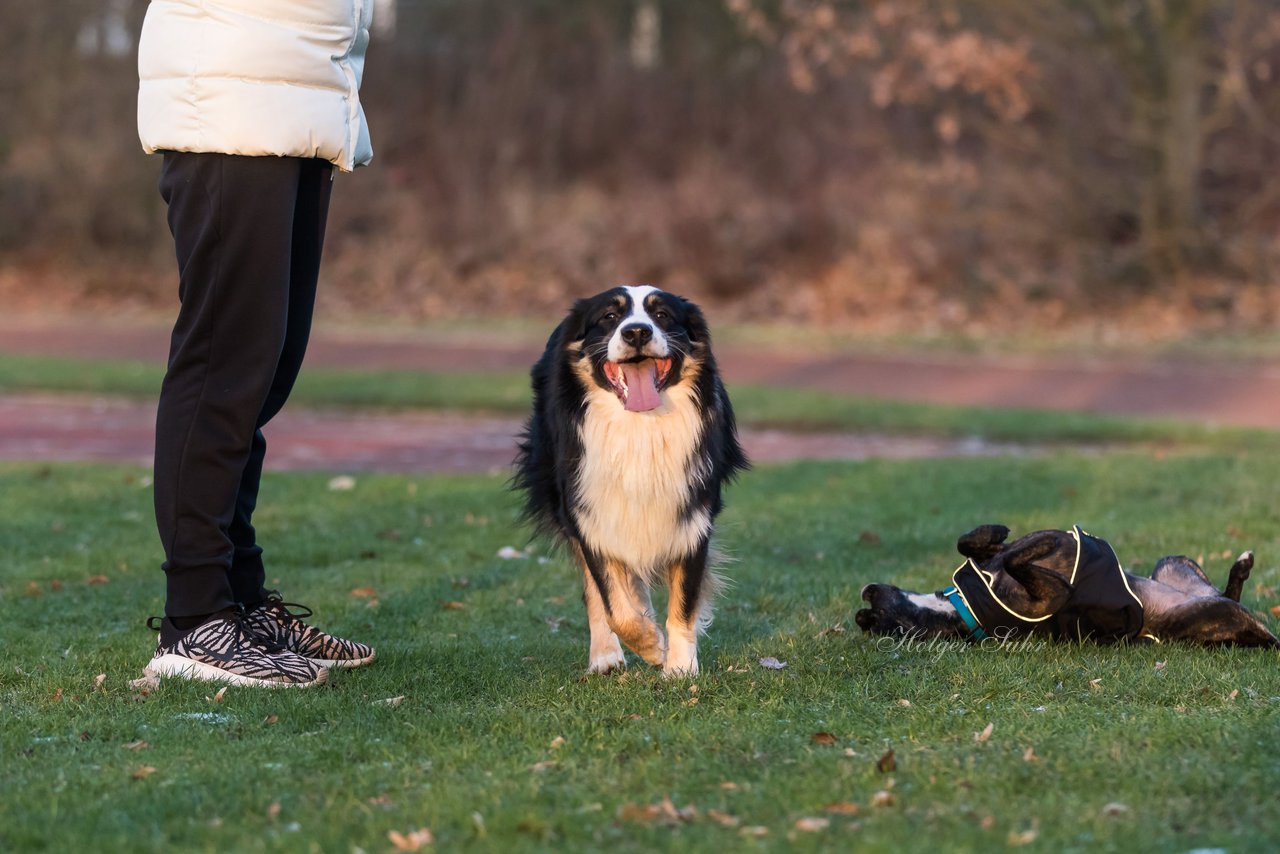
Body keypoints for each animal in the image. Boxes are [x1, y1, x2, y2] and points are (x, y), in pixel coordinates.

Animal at [512, 285, 747, 676]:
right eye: (610, 316)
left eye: (662, 315)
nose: (636, 332)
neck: (640, 428)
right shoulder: (588, 514)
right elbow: (612, 602)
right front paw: (650, 645)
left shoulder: (693, 515)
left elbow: (683, 602)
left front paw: (679, 667)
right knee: (598, 591)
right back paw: (606, 655)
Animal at [855, 522, 1274, 647]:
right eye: (885, 624)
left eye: (878, 615)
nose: (867, 591)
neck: (960, 608)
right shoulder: (1051, 598)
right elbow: (1016, 558)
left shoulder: (989, 558)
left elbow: (974, 544)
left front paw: (996, 532)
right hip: (1207, 613)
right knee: (1236, 608)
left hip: (1172, 563)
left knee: (1226, 588)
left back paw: (1242, 564)